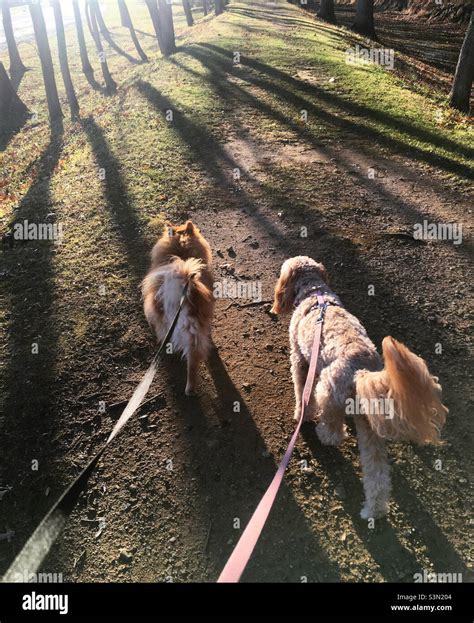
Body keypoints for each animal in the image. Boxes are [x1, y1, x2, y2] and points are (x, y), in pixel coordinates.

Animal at [272, 256, 446, 520]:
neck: (315, 292)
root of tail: (361, 371)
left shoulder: (300, 360)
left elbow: (302, 391)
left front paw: (302, 414)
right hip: (368, 424)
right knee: (378, 475)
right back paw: (374, 510)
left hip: (328, 392)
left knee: (335, 433)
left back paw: (323, 433)